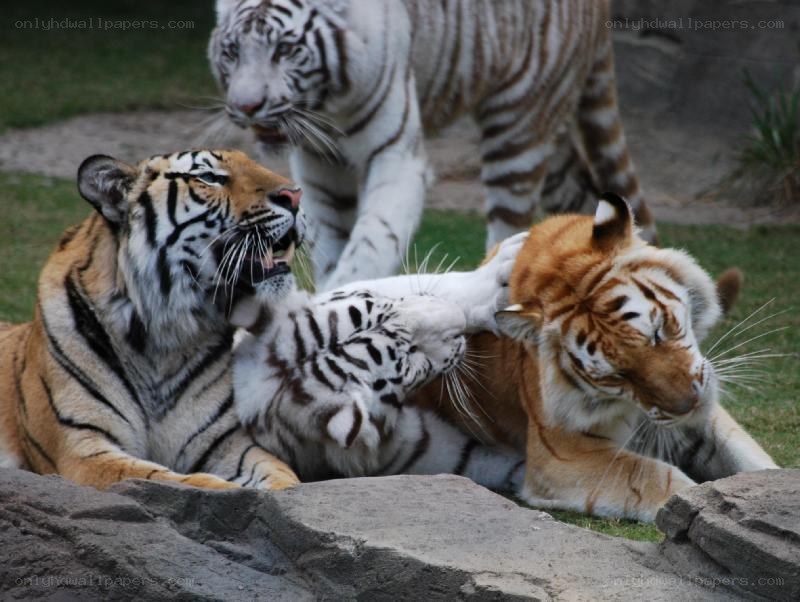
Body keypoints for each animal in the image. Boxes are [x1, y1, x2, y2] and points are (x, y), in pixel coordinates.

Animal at [0, 148, 523, 491]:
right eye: (211, 178)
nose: (294, 195)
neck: (163, 337)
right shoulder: (84, 452)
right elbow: (179, 483)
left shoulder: (232, 444)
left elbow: (278, 483)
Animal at [209, 0, 657, 291]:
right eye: (231, 51)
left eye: (285, 49)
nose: (246, 107)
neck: (325, 107)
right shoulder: (319, 163)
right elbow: (329, 240)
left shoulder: (396, 154)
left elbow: (371, 241)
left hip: (517, 125)